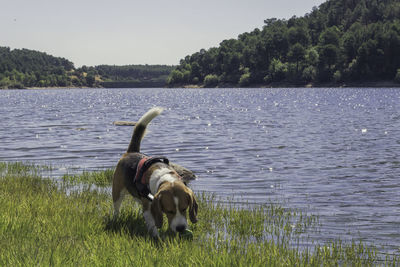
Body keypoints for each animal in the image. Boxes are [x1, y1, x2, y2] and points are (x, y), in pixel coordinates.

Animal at [111, 108, 198, 238]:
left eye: (184, 208)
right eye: (169, 211)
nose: (180, 228)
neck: (165, 178)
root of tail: (131, 152)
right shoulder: (149, 208)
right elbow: (152, 223)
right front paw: (157, 237)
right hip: (117, 192)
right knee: (117, 208)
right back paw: (115, 219)